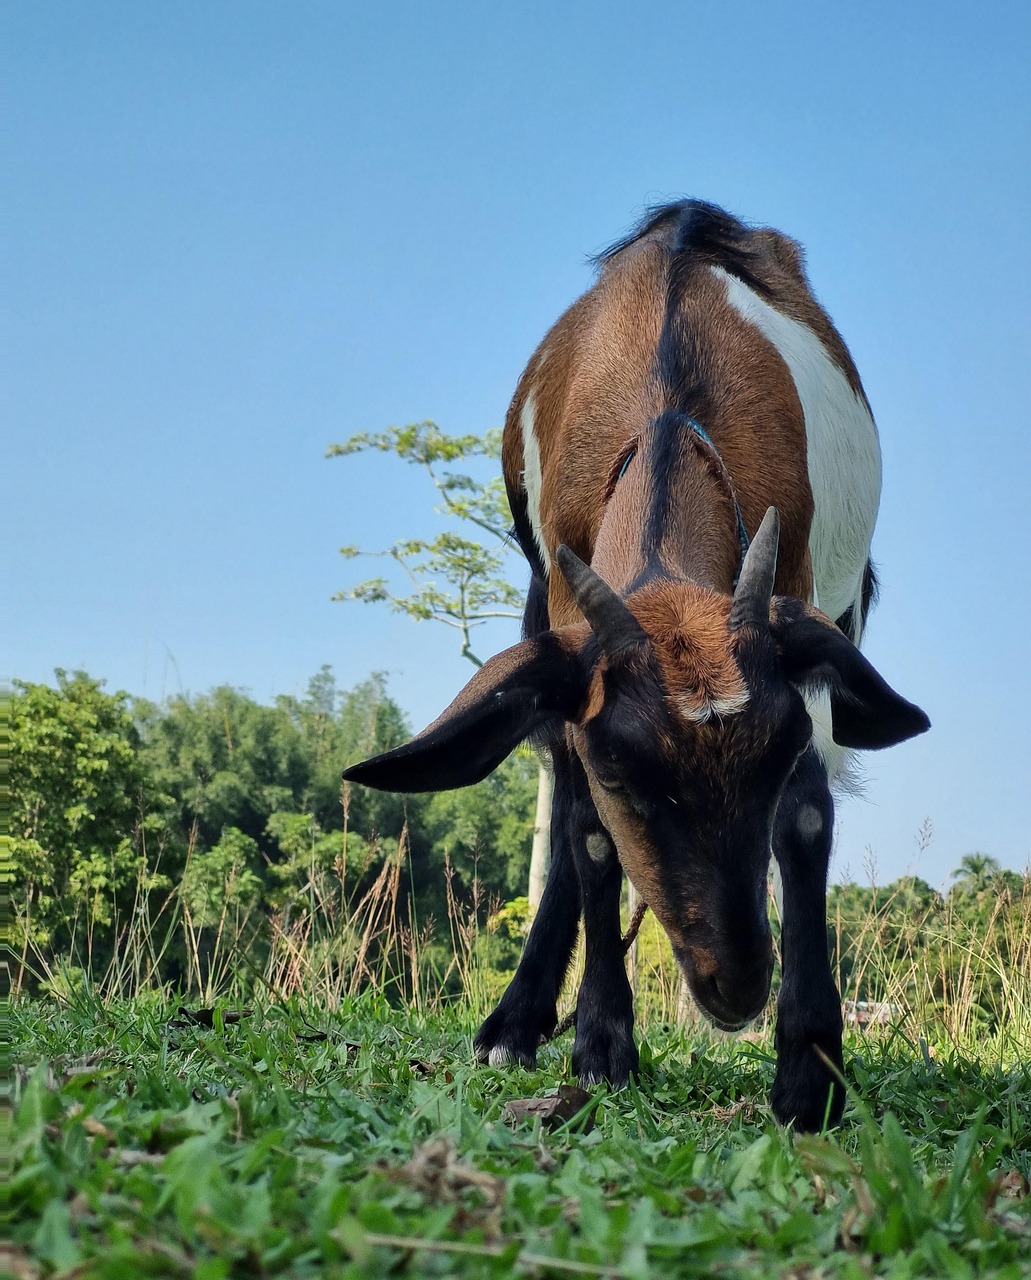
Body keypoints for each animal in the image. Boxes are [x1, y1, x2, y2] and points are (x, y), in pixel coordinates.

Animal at [344, 200, 929, 1130]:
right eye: (620, 770)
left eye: (774, 755)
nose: (736, 986)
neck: (666, 412)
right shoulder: (562, 610)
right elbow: (585, 832)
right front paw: (601, 1043)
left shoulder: (798, 593)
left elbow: (806, 816)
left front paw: (808, 1073)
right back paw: (517, 1021)